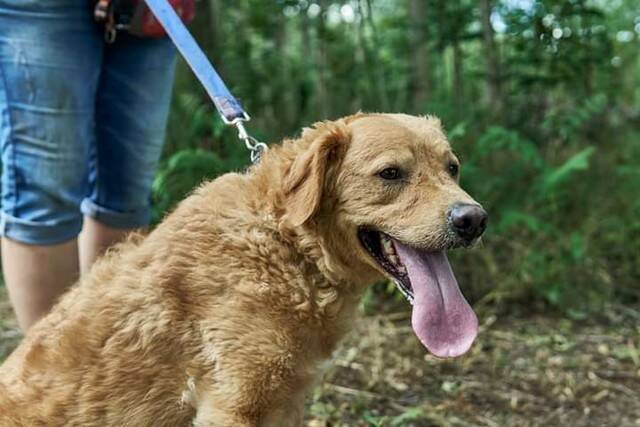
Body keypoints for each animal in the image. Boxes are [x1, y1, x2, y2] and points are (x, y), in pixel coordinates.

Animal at [0, 114, 484, 427]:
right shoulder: (235, 406)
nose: (474, 219)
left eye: (453, 167)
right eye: (390, 173)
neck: (286, 247)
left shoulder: (285, 401)